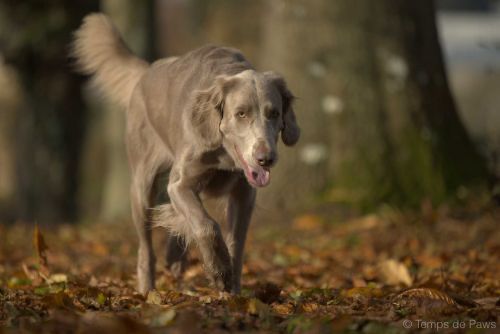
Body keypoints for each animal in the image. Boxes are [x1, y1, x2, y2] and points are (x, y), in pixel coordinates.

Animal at [73, 13, 300, 294]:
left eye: (274, 113)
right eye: (241, 113)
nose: (265, 159)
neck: (224, 154)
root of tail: (147, 72)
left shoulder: (243, 194)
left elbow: (235, 243)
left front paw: (232, 289)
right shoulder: (181, 183)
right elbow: (206, 225)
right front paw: (218, 271)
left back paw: (175, 257)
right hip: (142, 186)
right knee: (146, 248)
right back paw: (147, 289)